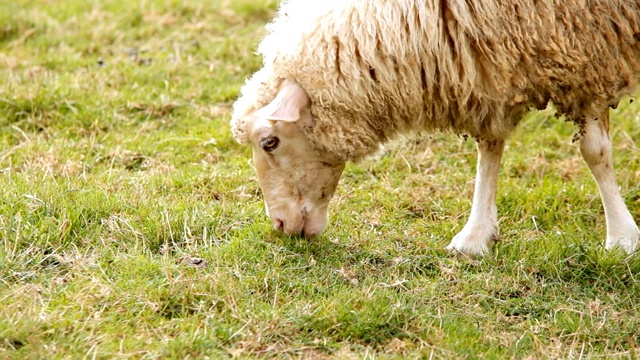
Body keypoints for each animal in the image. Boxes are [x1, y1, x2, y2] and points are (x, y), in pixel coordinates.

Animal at [230, 0, 640, 256]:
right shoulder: (489, 65)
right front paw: (475, 237)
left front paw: (621, 239)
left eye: (269, 141)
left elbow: (594, 152)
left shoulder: (590, 55)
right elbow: (489, 148)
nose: (280, 224)